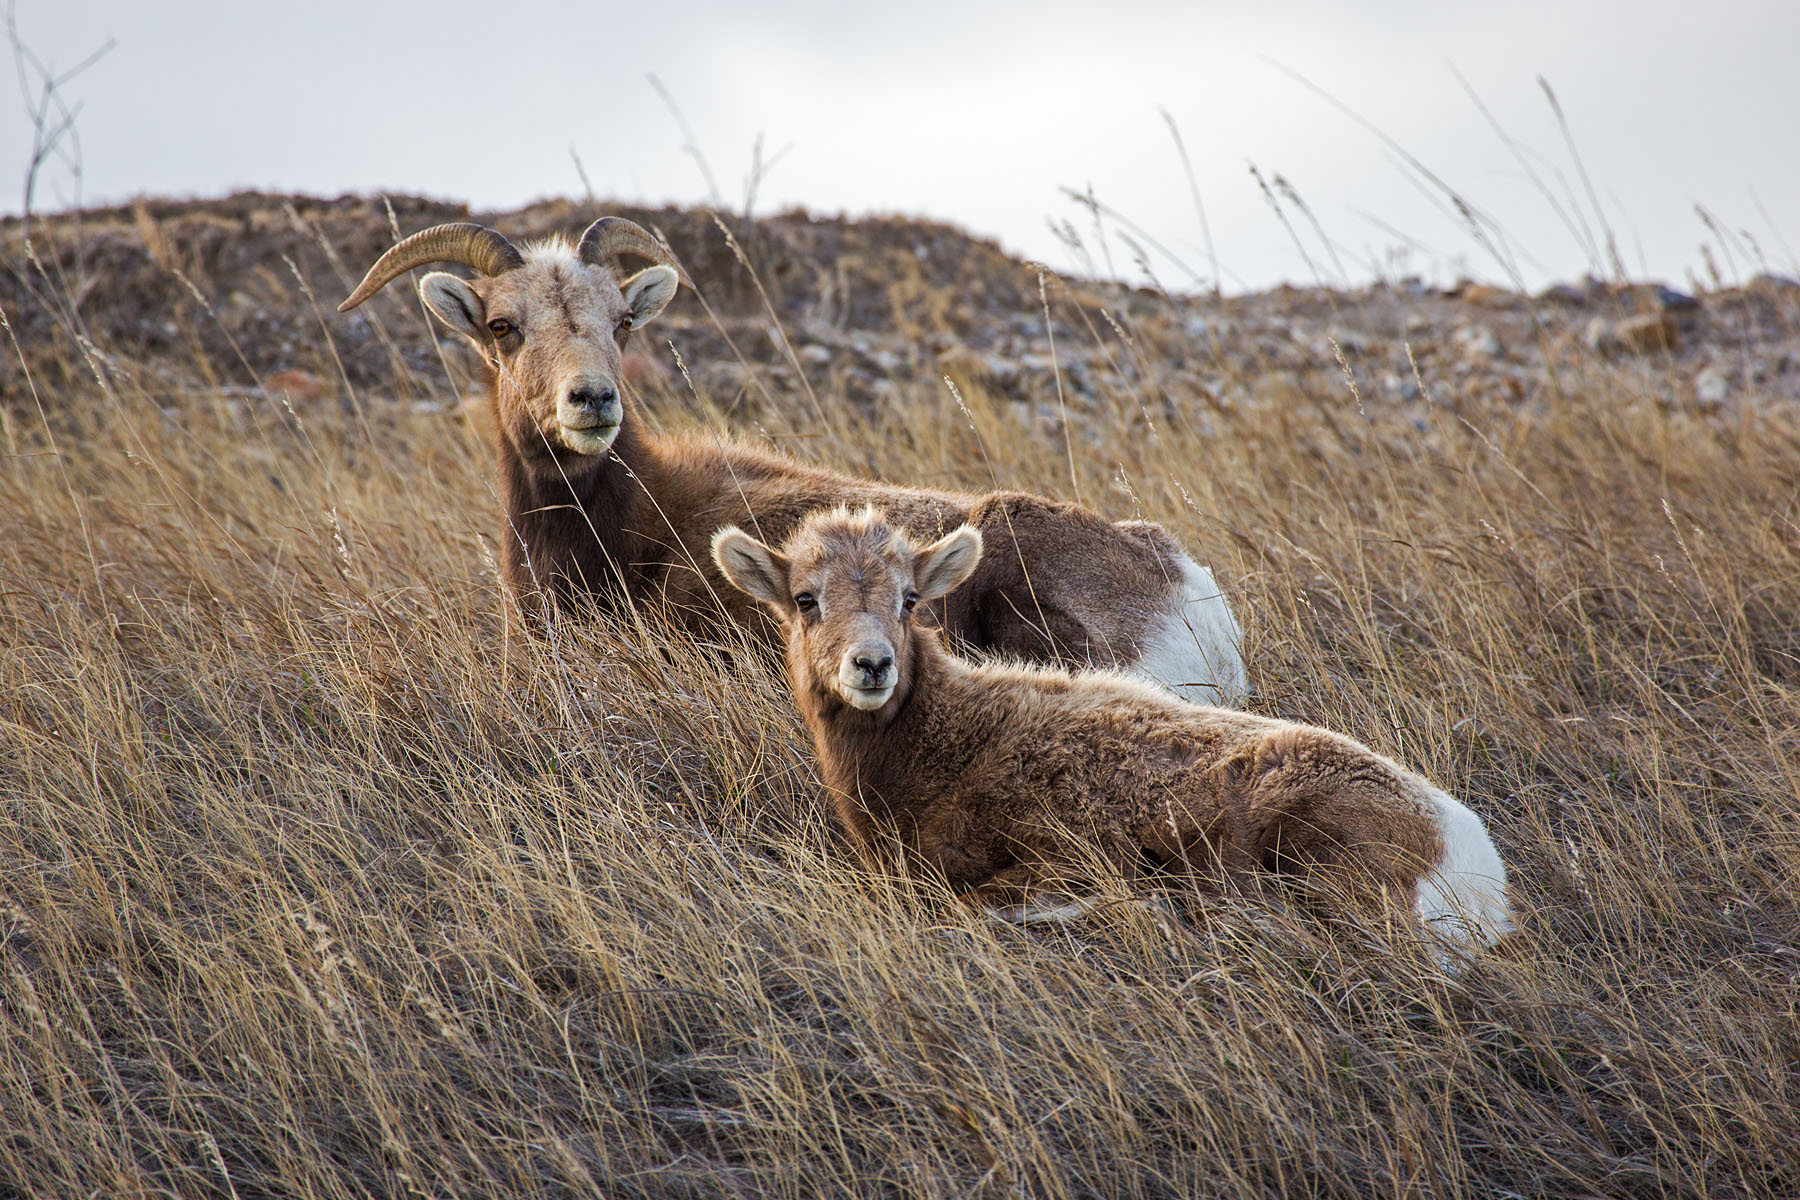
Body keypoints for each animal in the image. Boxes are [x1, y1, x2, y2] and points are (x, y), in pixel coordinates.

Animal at [711, 506, 1513, 958]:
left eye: (910, 597)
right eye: (805, 598)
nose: (872, 664)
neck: (951, 748)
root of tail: (1473, 873)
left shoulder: (1059, 859)